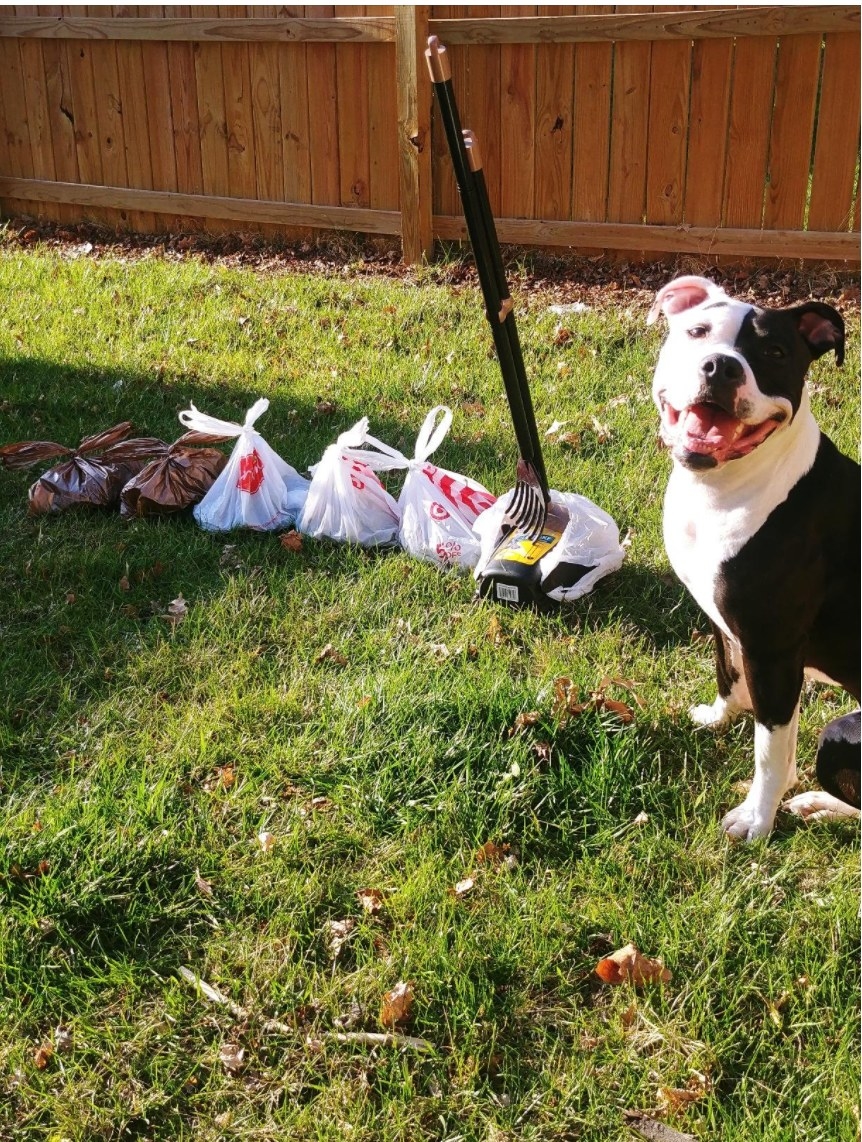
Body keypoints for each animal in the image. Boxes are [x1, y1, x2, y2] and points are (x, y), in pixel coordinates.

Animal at [648, 270, 858, 835]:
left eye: (775, 352)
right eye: (698, 331)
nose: (721, 366)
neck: (722, 490)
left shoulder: (774, 652)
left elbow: (769, 748)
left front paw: (756, 818)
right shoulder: (727, 626)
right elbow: (730, 676)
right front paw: (718, 717)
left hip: (840, 737)